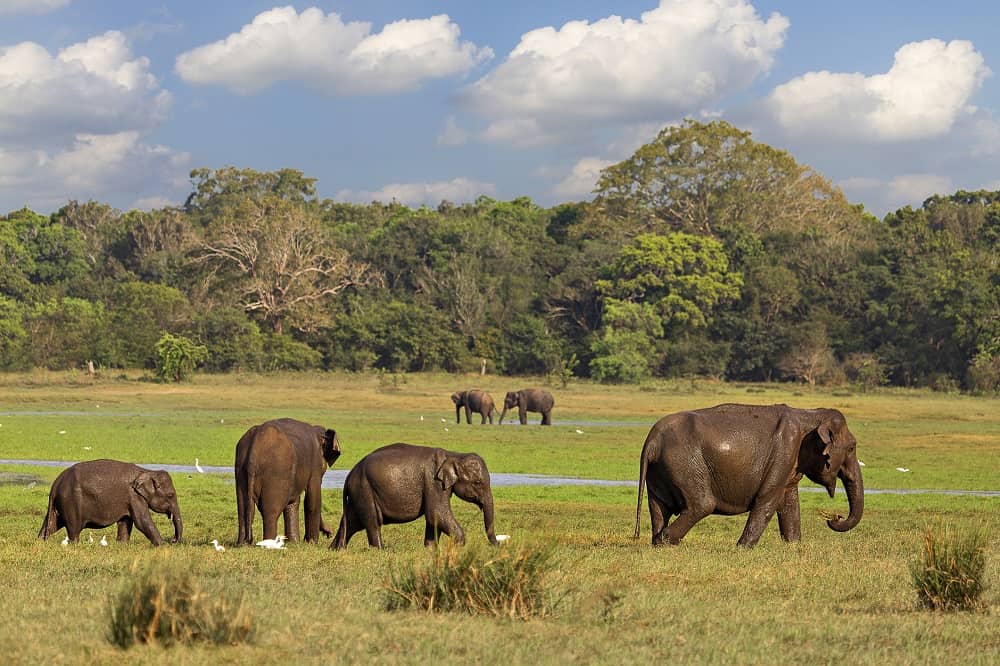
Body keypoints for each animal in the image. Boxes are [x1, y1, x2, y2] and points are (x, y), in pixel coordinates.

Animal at [38, 456, 184, 544]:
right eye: (170, 495)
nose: (173, 540)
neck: (147, 471)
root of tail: (56, 483)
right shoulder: (134, 496)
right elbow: (142, 522)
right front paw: (162, 546)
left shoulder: (129, 499)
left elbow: (126, 521)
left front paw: (122, 545)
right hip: (71, 503)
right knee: (74, 529)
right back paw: (74, 545)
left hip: (61, 504)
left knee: (52, 524)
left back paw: (40, 541)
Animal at [330, 444, 498, 548]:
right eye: (477, 483)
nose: (497, 545)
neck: (453, 454)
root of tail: (350, 474)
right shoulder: (433, 482)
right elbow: (436, 513)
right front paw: (459, 546)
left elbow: (433, 519)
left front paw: (430, 549)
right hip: (364, 490)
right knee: (372, 522)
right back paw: (381, 549)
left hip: (358, 493)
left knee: (352, 522)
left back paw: (336, 548)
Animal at [636, 402, 864, 548]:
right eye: (852, 448)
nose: (835, 517)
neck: (809, 414)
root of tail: (652, 441)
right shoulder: (783, 453)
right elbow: (768, 499)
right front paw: (742, 548)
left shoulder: (790, 461)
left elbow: (789, 501)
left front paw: (793, 545)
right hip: (685, 463)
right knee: (702, 504)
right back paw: (665, 540)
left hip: (661, 470)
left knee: (659, 506)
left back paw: (657, 541)